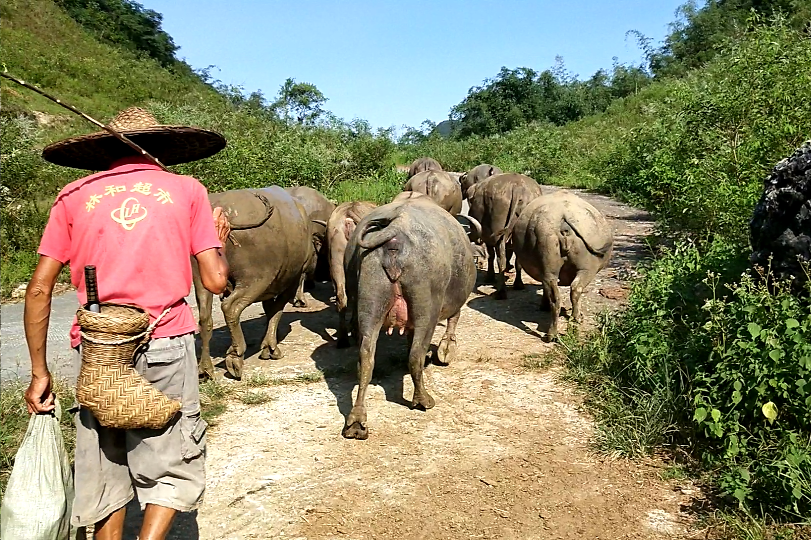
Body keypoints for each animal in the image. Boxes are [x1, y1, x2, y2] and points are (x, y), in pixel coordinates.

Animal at [192, 187, 316, 380]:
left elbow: (270, 309)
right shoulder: (291, 280)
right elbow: (276, 310)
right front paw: (270, 348)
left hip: (202, 277)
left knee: (205, 317)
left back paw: (205, 369)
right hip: (255, 278)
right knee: (230, 307)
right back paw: (235, 357)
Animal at [340, 194, 478, 438]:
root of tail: (394, 232)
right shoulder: (454, 302)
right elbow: (453, 321)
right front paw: (446, 350)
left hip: (369, 298)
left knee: (365, 357)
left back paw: (356, 421)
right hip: (426, 306)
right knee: (416, 354)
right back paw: (423, 399)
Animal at [512, 192, 616, 340]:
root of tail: (564, 217)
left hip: (550, 251)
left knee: (558, 293)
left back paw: (553, 333)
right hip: (585, 266)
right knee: (574, 288)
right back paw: (574, 319)